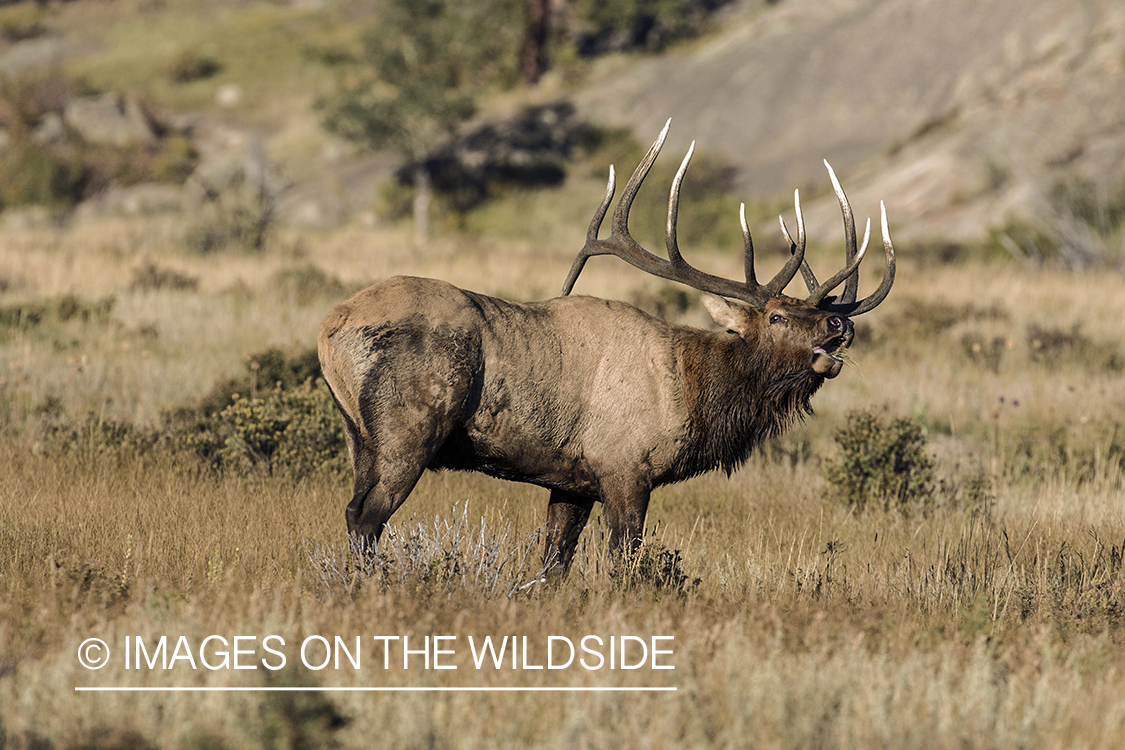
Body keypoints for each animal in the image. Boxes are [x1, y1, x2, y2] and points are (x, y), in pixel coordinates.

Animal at [319, 120, 895, 575]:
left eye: (815, 314)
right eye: (776, 316)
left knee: (353, 511)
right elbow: (624, 563)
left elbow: (553, 564)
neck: (691, 391)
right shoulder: (625, 469)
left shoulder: (572, 480)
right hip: (407, 430)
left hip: (358, 436)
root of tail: (329, 326)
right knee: (365, 517)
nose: (839, 325)